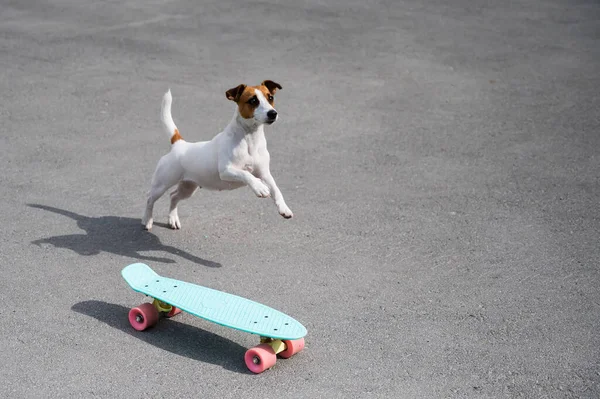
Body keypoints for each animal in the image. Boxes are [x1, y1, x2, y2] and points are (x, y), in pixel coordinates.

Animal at [141, 80, 290, 231]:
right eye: (253, 100)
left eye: (270, 97)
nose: (273, 113)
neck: (250, 138)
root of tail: (179, 144)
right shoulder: (226, 171)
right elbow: (246, 174)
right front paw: (259, 187)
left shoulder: (265, 174)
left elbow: (276, 190)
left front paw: (284, 208)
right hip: (162, 184)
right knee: (149, 198)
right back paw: (147, 220)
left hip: (188, 188)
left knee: (173, 196)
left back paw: (173, 219)